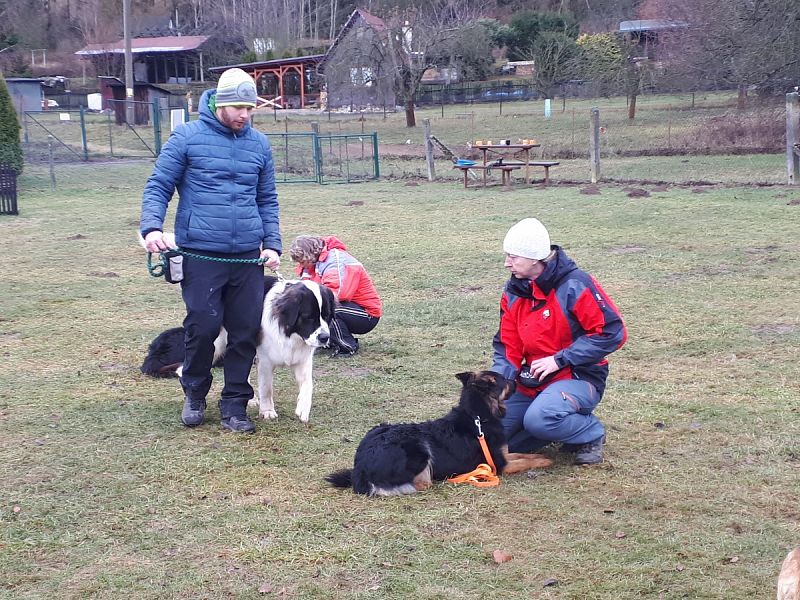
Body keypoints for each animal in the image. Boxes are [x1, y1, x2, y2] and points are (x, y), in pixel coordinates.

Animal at [141, 276, 334, 422]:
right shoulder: (265, 361)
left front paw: (303, 409)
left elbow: (308, 385)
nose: (325, 337)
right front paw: (267, 411)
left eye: (326, 316)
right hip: (215, 344)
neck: (289, 332)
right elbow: (267, 388)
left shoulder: (303, 359)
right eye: (309, 317)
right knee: (184, 368)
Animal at [324, 370, 552, 496]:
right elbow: (524, 462)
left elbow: (525, 455)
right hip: (419, 447)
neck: (477, 415)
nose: (517, 380)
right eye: (505, 380)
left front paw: (542, 456)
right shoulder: (500, 465)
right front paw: (545, 461)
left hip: (381, 427)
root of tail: (360, 467)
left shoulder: (503, 455)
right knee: (418, 483)